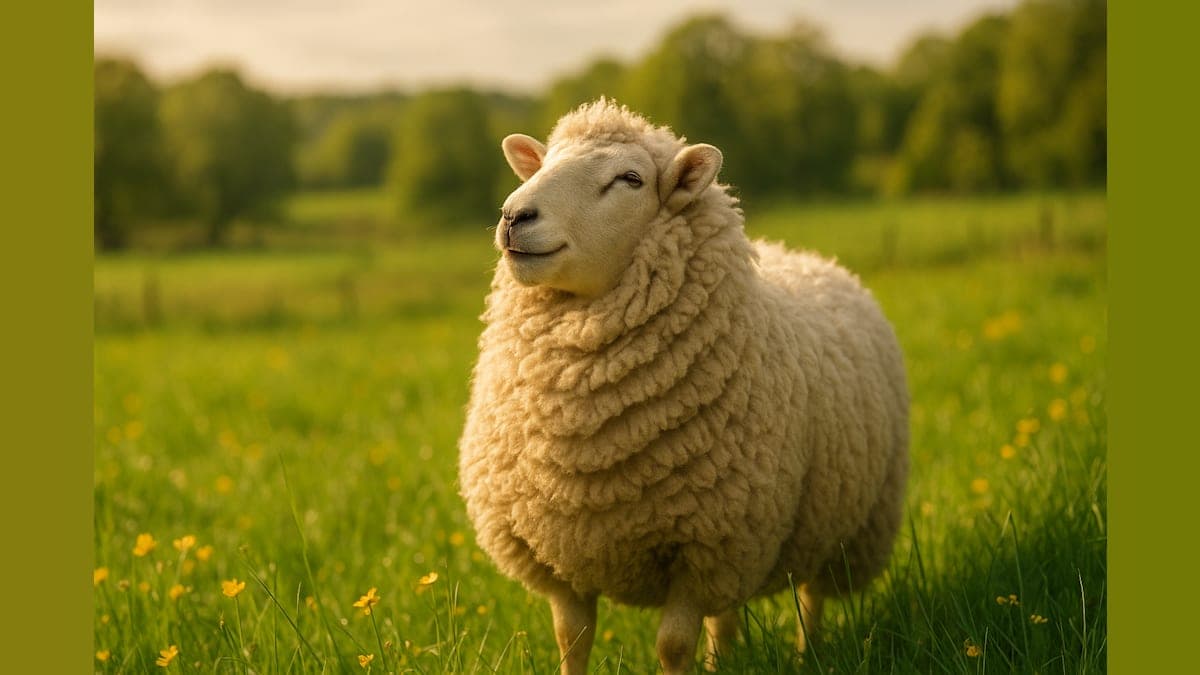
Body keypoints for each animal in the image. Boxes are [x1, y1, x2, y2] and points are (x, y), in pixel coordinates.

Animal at [458, 99, 909, 675]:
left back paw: (808, 655)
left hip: (838, 527)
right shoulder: (558, 557)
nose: (515, 216)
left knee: (811, 598)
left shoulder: (706, 548)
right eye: (543, 163)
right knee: (727, 615)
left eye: (630, 179)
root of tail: (810, 257)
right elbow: (571, 639)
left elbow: (673, 646)